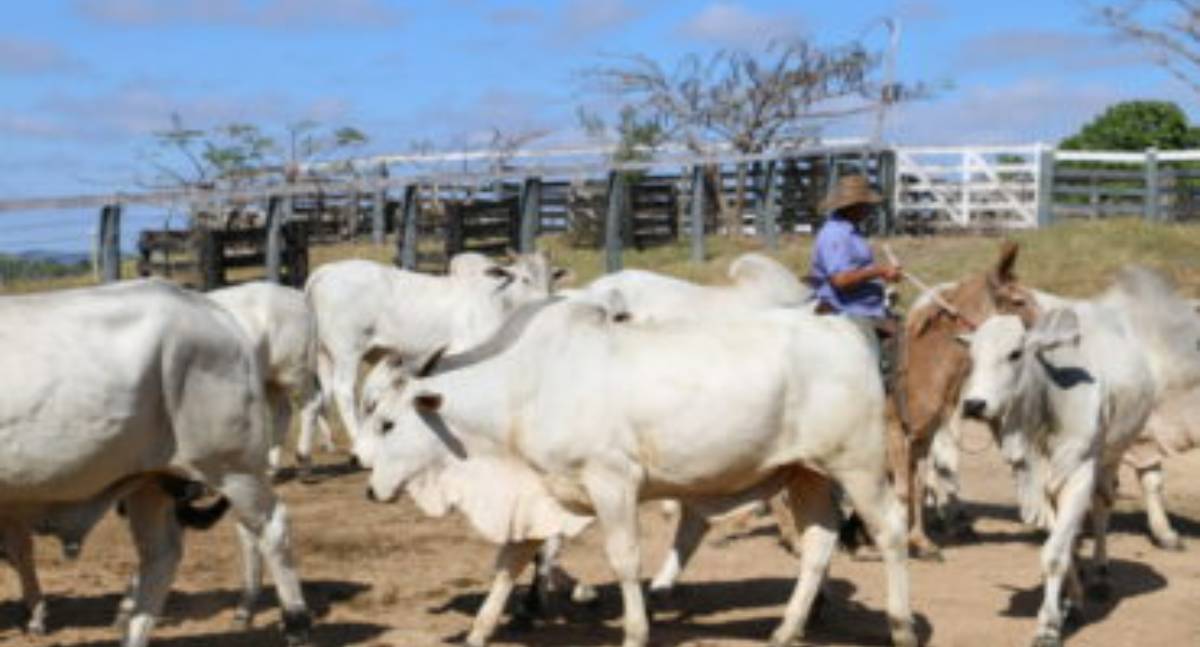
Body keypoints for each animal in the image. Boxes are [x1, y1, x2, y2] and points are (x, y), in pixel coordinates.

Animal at [0, 279, 312, 647]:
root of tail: (215, 312)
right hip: (151, 480)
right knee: (161, 555)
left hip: (233, 467)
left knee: (270, 527)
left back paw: (296, 622)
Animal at [300, 253, 561, 446]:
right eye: (524, 278)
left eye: (551, 278)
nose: (546, 301)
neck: (497, 300)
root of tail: (326, 271)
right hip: (347, 351)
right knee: (342, 390)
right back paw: (356, 439)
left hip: (324, 353)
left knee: (322, 392)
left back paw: (326, 441)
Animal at [357, 301, 916, 647]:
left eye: (388, 422)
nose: (370, 488)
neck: (525, 386)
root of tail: (847, 330)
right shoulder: (536, 494)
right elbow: (507, 563)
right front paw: (479, 631)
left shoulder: (613, 483)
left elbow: (624, 561)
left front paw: (635, 631)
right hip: (806, 473)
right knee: (819, 543)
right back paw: (786, 629)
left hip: (857, 463)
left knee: (890, 529)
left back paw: (902, 625)